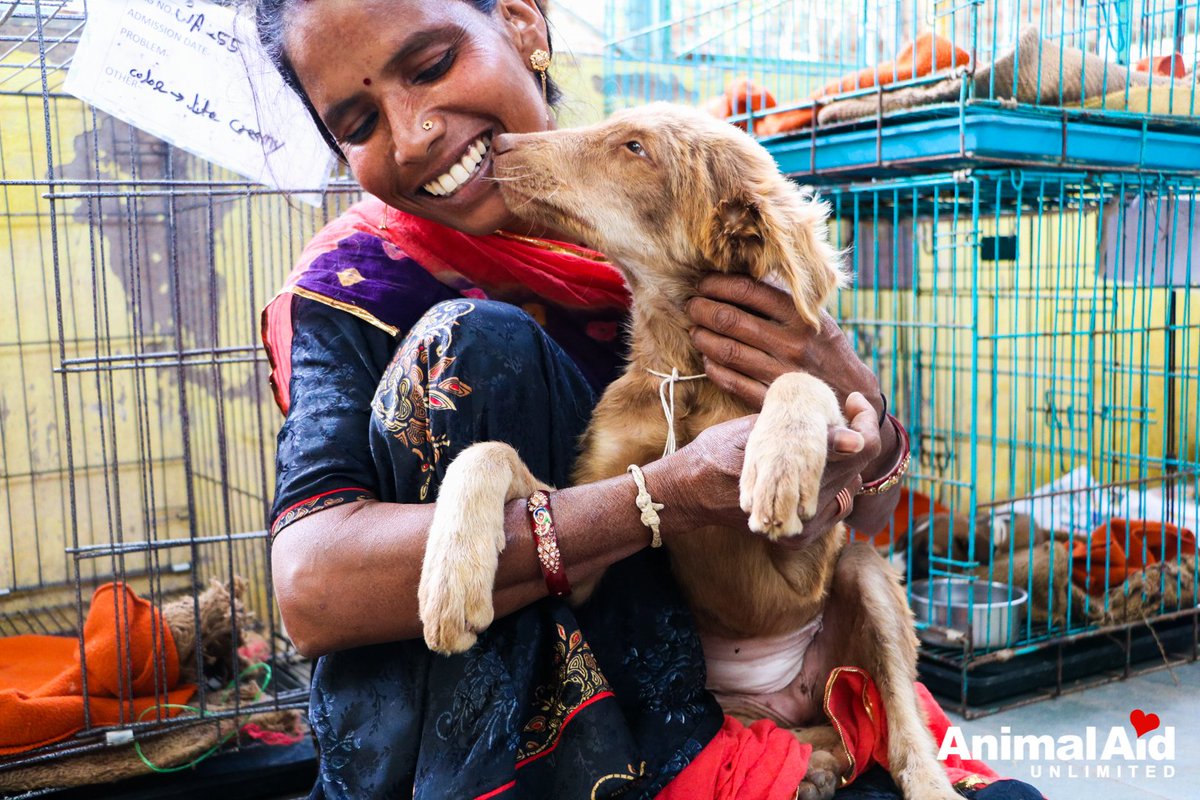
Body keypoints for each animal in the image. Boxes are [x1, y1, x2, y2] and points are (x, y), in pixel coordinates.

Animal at [417, 106, 960, 800]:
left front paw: (779, 458)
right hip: (742, 706)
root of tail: (783, 692)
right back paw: (813, 767)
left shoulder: (809, 549)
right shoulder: (580, 558)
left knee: (893, 724)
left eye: (635, 148)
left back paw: (910, 779)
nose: (501, 144)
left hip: (861, 575)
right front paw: (450, 577)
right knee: (817, 732)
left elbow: (800, 378)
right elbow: (491, 454)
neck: (683, 368)